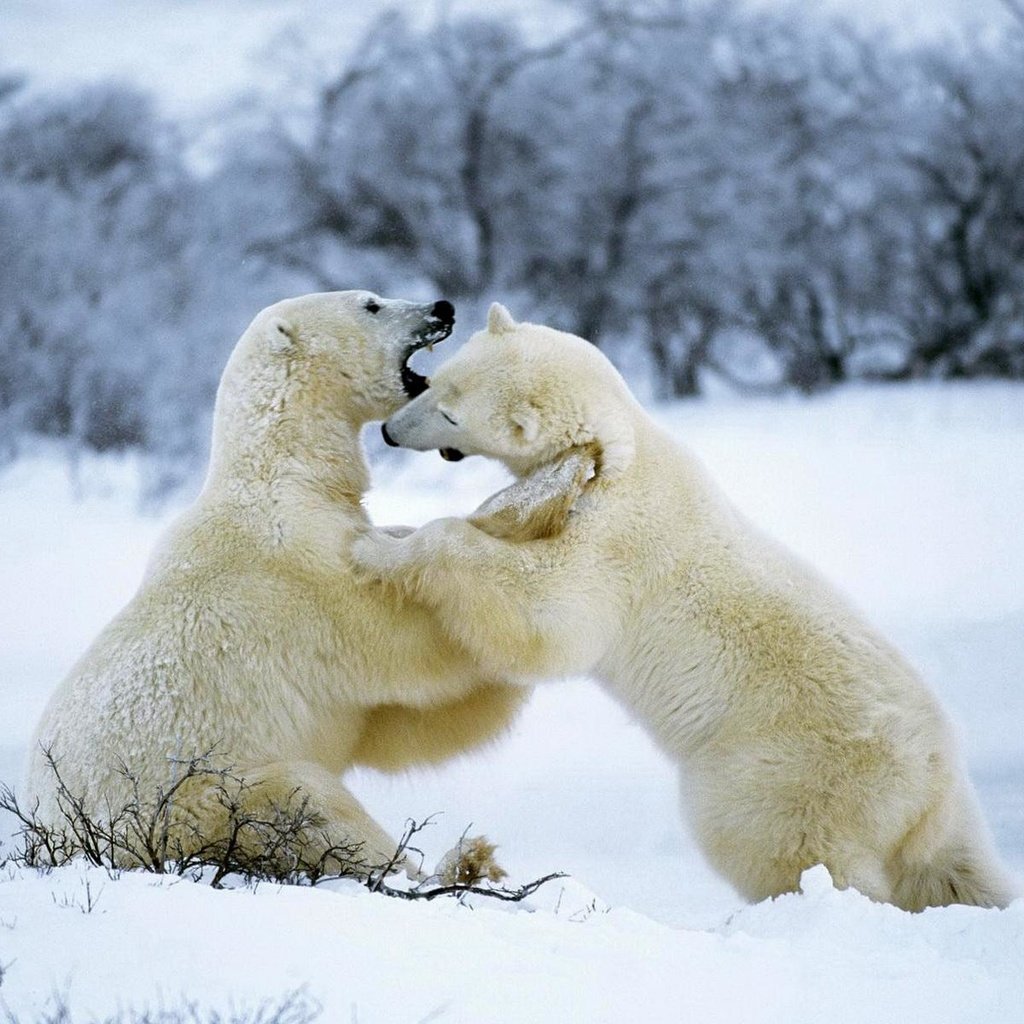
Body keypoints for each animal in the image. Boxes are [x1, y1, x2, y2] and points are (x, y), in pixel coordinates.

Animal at [24, 292, 532, 876]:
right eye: (372, 304)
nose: (442, 307)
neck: (285, 477)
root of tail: (52, 841)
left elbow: (396, 726)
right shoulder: (303, 576)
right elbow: (408, 647)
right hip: (194, 800)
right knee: (305, 803)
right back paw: (448, 862)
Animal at [352, 299, 1015, 909]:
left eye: (449, 412)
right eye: (436, 380)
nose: (389, 432)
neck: (622, 450)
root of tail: (934, 781)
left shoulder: (617, 543)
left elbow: (548, 615)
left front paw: (380, 549)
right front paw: (391, 531)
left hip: (787, 768)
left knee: (780, 842)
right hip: (926, 813)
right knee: (953, 868)